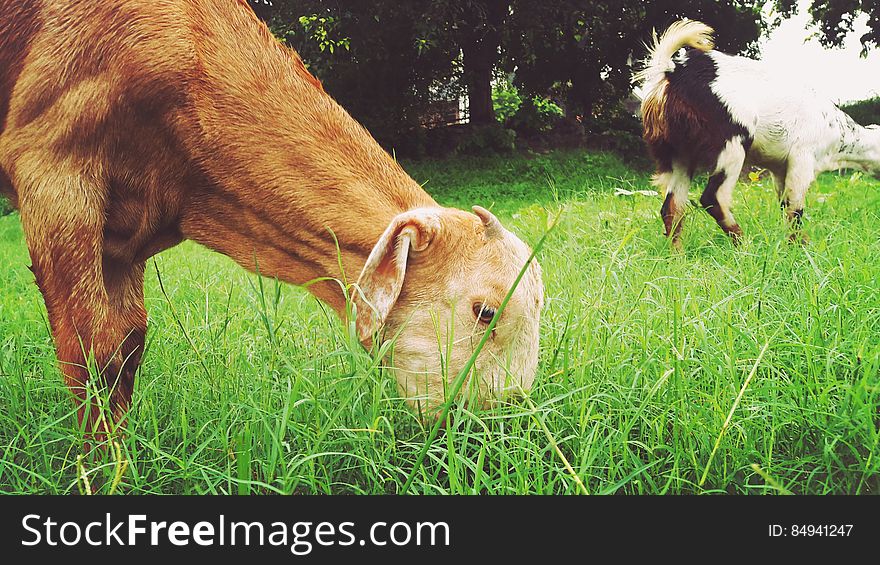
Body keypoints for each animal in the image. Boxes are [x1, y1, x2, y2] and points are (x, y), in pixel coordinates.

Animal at [0, 0, 544, 440]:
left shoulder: (126, 236)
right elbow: (93, 351)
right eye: (485, 311)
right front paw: (106, 471)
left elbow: (128, 345)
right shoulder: (52, 169)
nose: (501, 424)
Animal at [636, 20, 880, 246]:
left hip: (679, 155)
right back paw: (744, 245)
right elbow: (795, 209)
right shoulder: (802, 160)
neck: (839, 133)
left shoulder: (780, 170)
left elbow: (785, 206)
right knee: (713, 198)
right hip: (731, 144)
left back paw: (677, 255)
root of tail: (672, 71)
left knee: (672, 207)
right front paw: (801, 247)